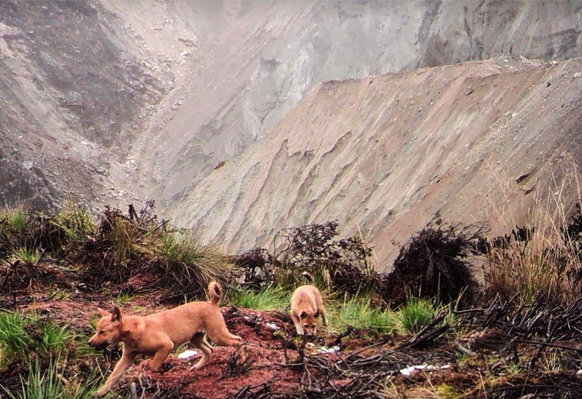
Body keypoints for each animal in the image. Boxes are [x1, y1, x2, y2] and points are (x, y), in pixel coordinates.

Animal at [88, 282, 242, 398]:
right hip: (196, 339)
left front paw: (162, 370)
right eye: (97, 330)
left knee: (238, 340)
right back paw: (198, 366)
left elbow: (153, 365)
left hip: (218, 335)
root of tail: (212, 303)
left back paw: (238, 358)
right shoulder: (127, 358)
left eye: (102, 332)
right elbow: (112, 377)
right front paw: (99, 392)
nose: (89, 342)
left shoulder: (166, 345)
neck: (133, 331)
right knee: (210, 350)